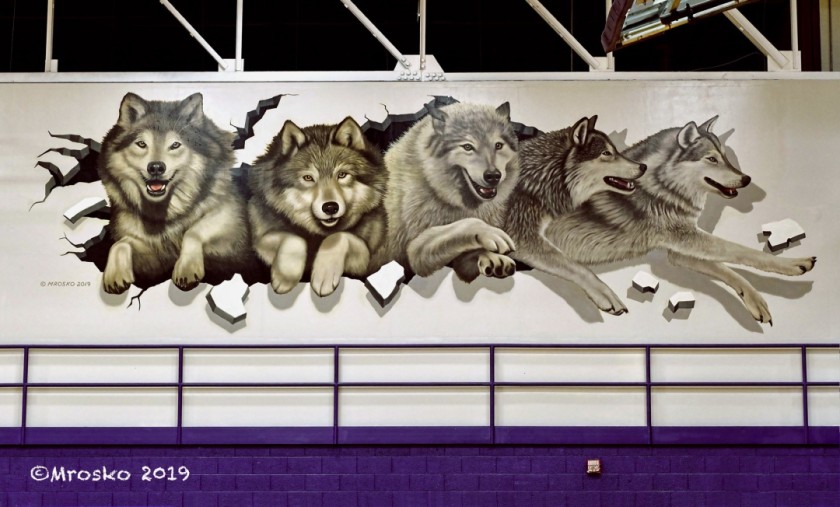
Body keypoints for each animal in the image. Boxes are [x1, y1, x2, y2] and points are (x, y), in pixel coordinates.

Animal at [98, 92, 249, 294]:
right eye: (141, 144)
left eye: (175, 145)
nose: (155, 167)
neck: (166, 215)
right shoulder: (152, 256)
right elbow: (120, 244)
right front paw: (114, 276)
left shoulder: (229, 222)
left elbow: (193, 231)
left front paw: (186, 269)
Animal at [248, 117, 387, 296]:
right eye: (308, 178)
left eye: (342, 175)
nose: (330, 208)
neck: (317, 234)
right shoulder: (259, 238)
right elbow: (295, 239)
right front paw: (285, 276)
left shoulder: (365, 258)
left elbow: (339, 236)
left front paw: (324, 275)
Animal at [379, 102, 520, 282]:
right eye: (468, 147)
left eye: (498, 145)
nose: (493, 176)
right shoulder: (413, 253)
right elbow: (466, 223)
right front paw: (490, 234)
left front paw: (490, 256)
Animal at [505, 115, 647, 315]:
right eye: (606, 153)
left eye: (615, 150)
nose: (643, 166)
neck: (544, 176)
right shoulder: (523, 238)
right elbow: (579, 268)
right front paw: (605, 294)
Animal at [539, 116, 816, 324]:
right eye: (711, 159)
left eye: (725, 157)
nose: (746, 179)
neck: (663, 187)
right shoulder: (686, 239)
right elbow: (742, 252)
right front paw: (794, 264)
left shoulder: (678, 251)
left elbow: (728, 270)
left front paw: (754, 300)